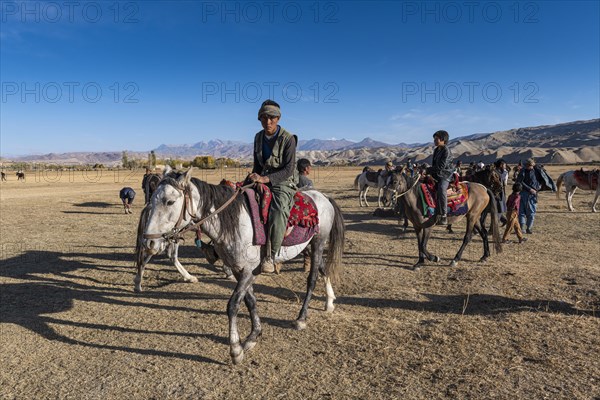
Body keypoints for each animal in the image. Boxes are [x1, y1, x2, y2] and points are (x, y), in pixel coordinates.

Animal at [136, 167, 342, 364]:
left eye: (169, 202)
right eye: (152, 199)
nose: (149, 243)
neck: (233, 222)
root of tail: (323, 196)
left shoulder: (249, 271)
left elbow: (233, 305)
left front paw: (235, 349)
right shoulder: (238, 270)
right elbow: (250, 301)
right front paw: (253, 336)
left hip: (318, 243)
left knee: (312, 279)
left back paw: (301, 318)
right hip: (309, 246)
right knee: (323, 269)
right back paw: (330, 302)